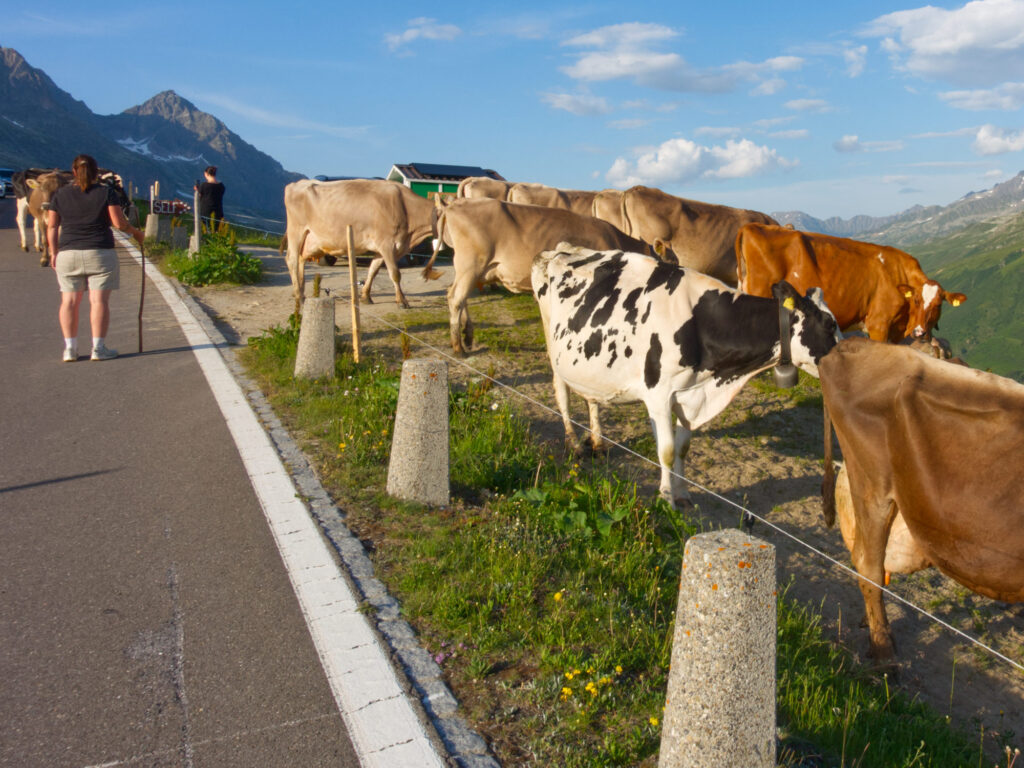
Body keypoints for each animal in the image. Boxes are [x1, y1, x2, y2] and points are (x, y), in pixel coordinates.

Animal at [282, 179, 436, 309]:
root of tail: (297, 183)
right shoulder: (386, 244)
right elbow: (395, 273)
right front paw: (402, 301)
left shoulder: (382, 248)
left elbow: (373, 271)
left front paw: (366, 296)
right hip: (296, 230)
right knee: (292, 259)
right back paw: (299, 297)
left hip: (310, 240)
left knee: (301, 259)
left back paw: (300, 291)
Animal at [420, 198, 656, 356]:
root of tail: (452, 206)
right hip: (471, 265)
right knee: (455, 298)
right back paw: (458, 347)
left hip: (469, 269)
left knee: (458, 295)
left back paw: (468, 337)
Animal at [532, 244, 842, 509]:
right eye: (829, 325)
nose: (847, 358)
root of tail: (560, 249)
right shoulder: (658, 395)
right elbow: (667, 451)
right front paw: (666, 498)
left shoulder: (689, 395)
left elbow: (682, 448)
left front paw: (682, 494)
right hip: (552, 347)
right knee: (562, 395)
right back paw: (574, 444)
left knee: (591, 399)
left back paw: (597, 442)